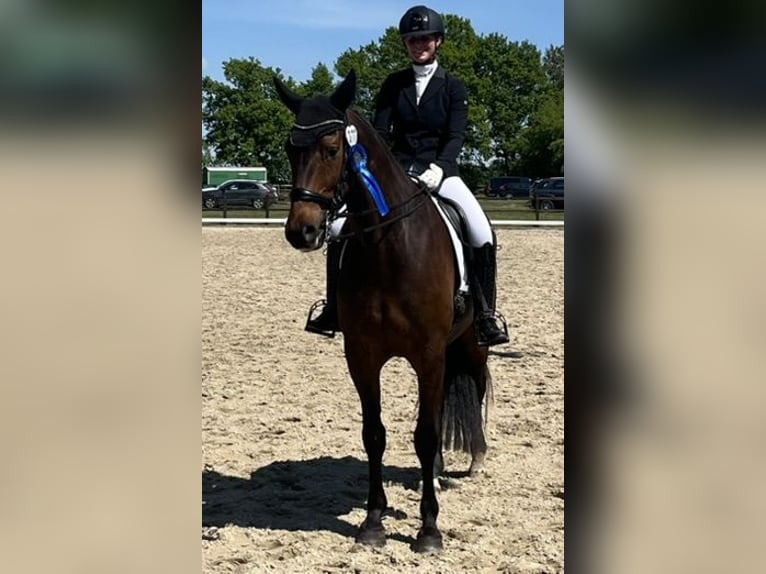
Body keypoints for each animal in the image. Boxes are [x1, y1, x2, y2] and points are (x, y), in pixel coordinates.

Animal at [274, 69, 492, 554]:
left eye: (332, 148)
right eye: (290, 148)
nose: (302, 232)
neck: (388, 246)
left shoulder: (428, 353)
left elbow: (425, 435)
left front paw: (428, 530)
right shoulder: (362, 354)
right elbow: (374, 434)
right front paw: (373, 522)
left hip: (470, 344)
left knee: (476, 384)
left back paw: (474, 461)